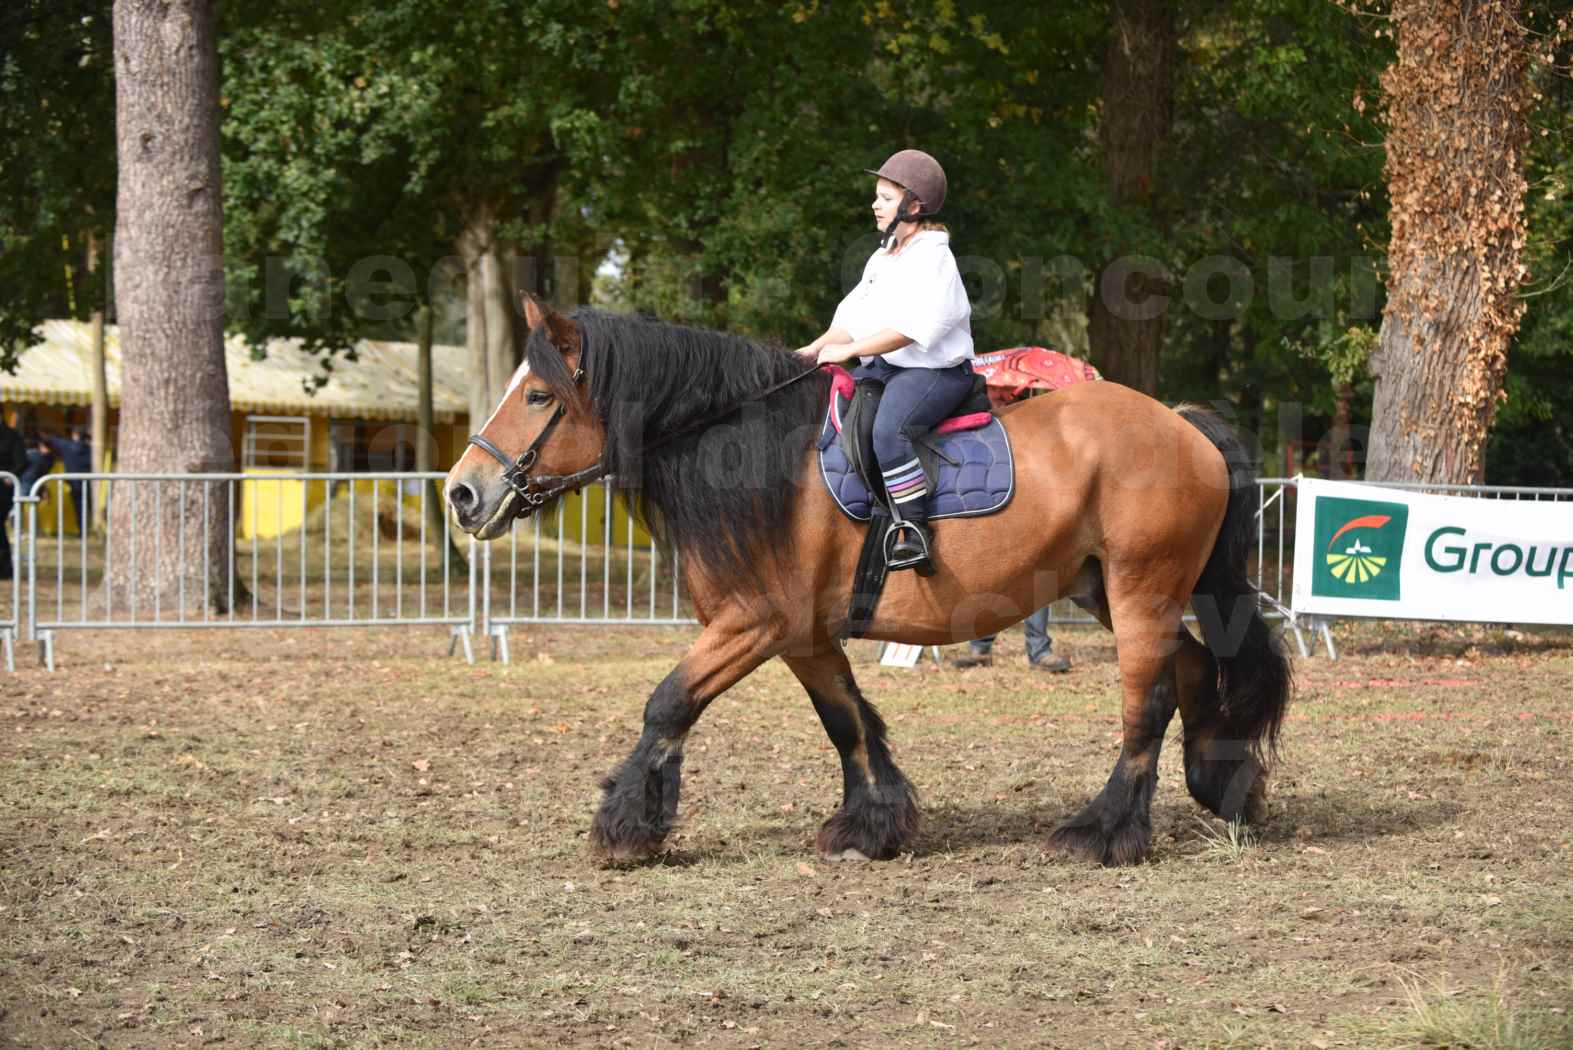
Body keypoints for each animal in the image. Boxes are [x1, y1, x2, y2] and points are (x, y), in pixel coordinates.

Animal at [446, 297, 1289, 867]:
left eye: (538, 396)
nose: (460, 493)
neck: (765, 457)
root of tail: (1179, 422)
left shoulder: (753, 623)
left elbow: (668, 704)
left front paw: (626, 826)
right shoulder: (802, 634)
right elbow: (846, 721)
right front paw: (871, 823)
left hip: (1141, 587)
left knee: (1147, 698)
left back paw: (1103, 830)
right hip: (1105, 589)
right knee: (1189, 668)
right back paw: (1222, 785)